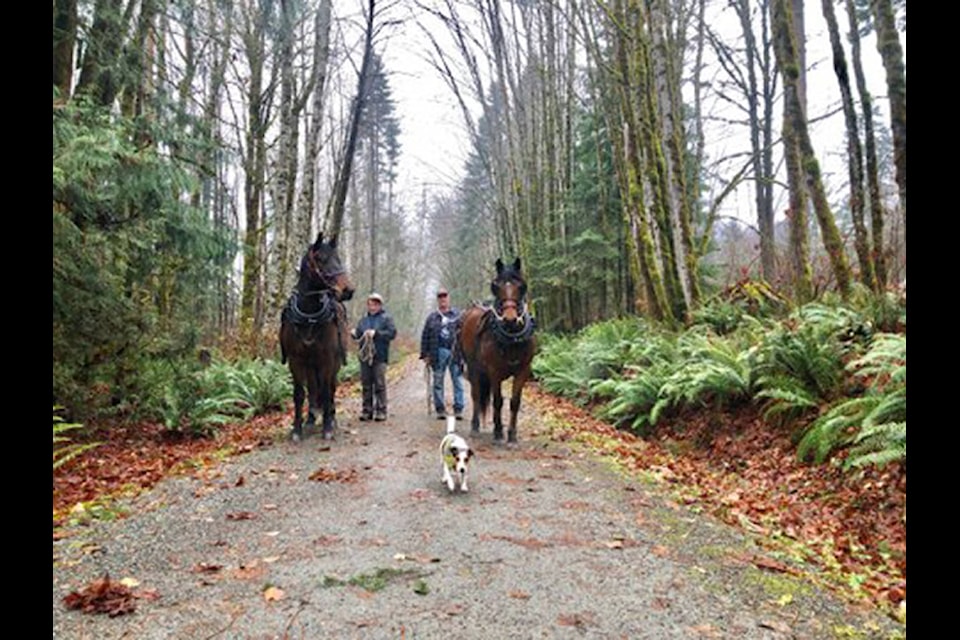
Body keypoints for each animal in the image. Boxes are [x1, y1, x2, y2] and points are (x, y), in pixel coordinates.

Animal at [280, 232, 354, 442]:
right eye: (321, 259)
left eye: (338, 258)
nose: (347, 290)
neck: (309, 316)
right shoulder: (296, 361)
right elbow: (299, 394)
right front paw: (297, 428)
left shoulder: (327, 360)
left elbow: (327, 391)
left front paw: (328, 426)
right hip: (310, 365)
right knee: (313, 389)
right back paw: (311, 418)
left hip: (332, 363)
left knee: (330, 387)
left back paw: (331, 417)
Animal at [456, 256, 536, 444]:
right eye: (496, 286)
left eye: (521, 285)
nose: (510, 319)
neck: (512, 338)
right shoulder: (494, 371)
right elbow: (498, 401)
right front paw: (499, 432)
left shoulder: (523, 370)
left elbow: (514, 402)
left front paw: (512, 435)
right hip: (474, 368)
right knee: (477, 395)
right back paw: (475, 426)